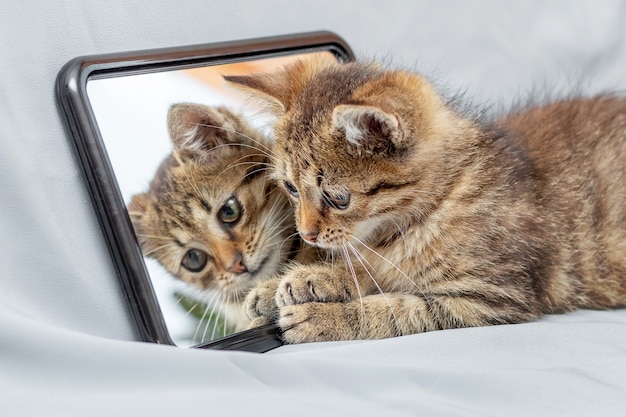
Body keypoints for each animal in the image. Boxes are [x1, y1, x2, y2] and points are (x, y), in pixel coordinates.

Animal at [227, 59, 624, 344]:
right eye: (291, 189)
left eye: (338, 199)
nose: (306, 234)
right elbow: (368, 270)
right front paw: (291, 283)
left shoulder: (490, 297)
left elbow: (398, 309)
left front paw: (325, 316)